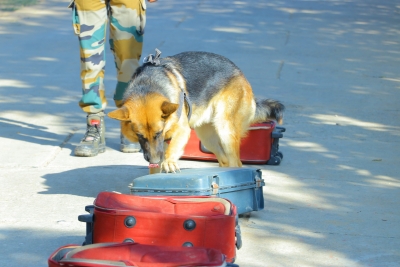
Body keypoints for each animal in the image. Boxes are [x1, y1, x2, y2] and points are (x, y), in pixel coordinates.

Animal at [108, 50, 284, 174]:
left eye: (158, 133)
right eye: (140, 136)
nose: (154, 160)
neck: (147, 86)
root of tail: (239, 71)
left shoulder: (181, 131)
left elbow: (172, 149)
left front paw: (169, 162)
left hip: (225, 131)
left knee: (236, 163)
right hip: (208, 139)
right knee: (224, 161)